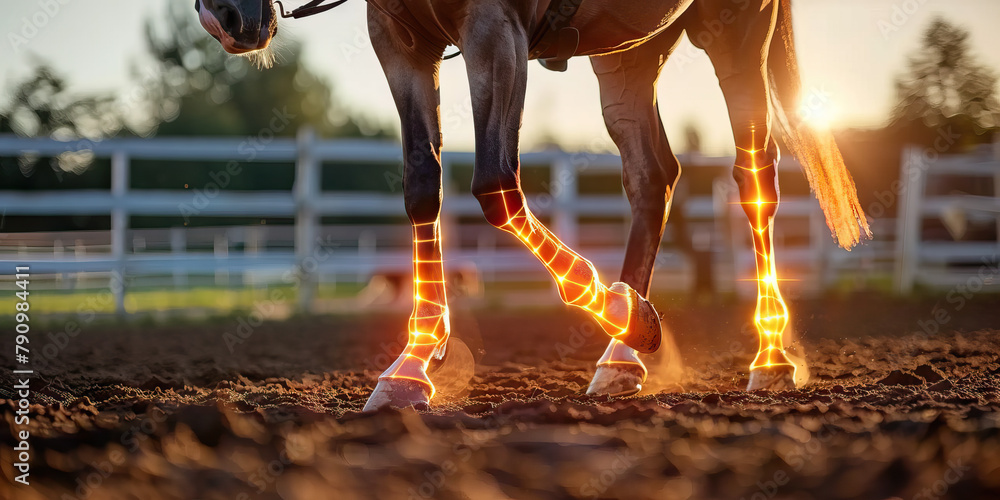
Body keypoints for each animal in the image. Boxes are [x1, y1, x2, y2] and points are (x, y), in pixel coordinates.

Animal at [195, 0, 870, 411]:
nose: (224, 18)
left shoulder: (495, 32)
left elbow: (495, 187)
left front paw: (622, 311)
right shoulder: (398, 40)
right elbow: (422, 185)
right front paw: (412, 364)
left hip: (737, 31)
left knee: (755, 179)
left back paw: (769, 356)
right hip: (628, 51)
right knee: (651, 178)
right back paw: (621, 356)